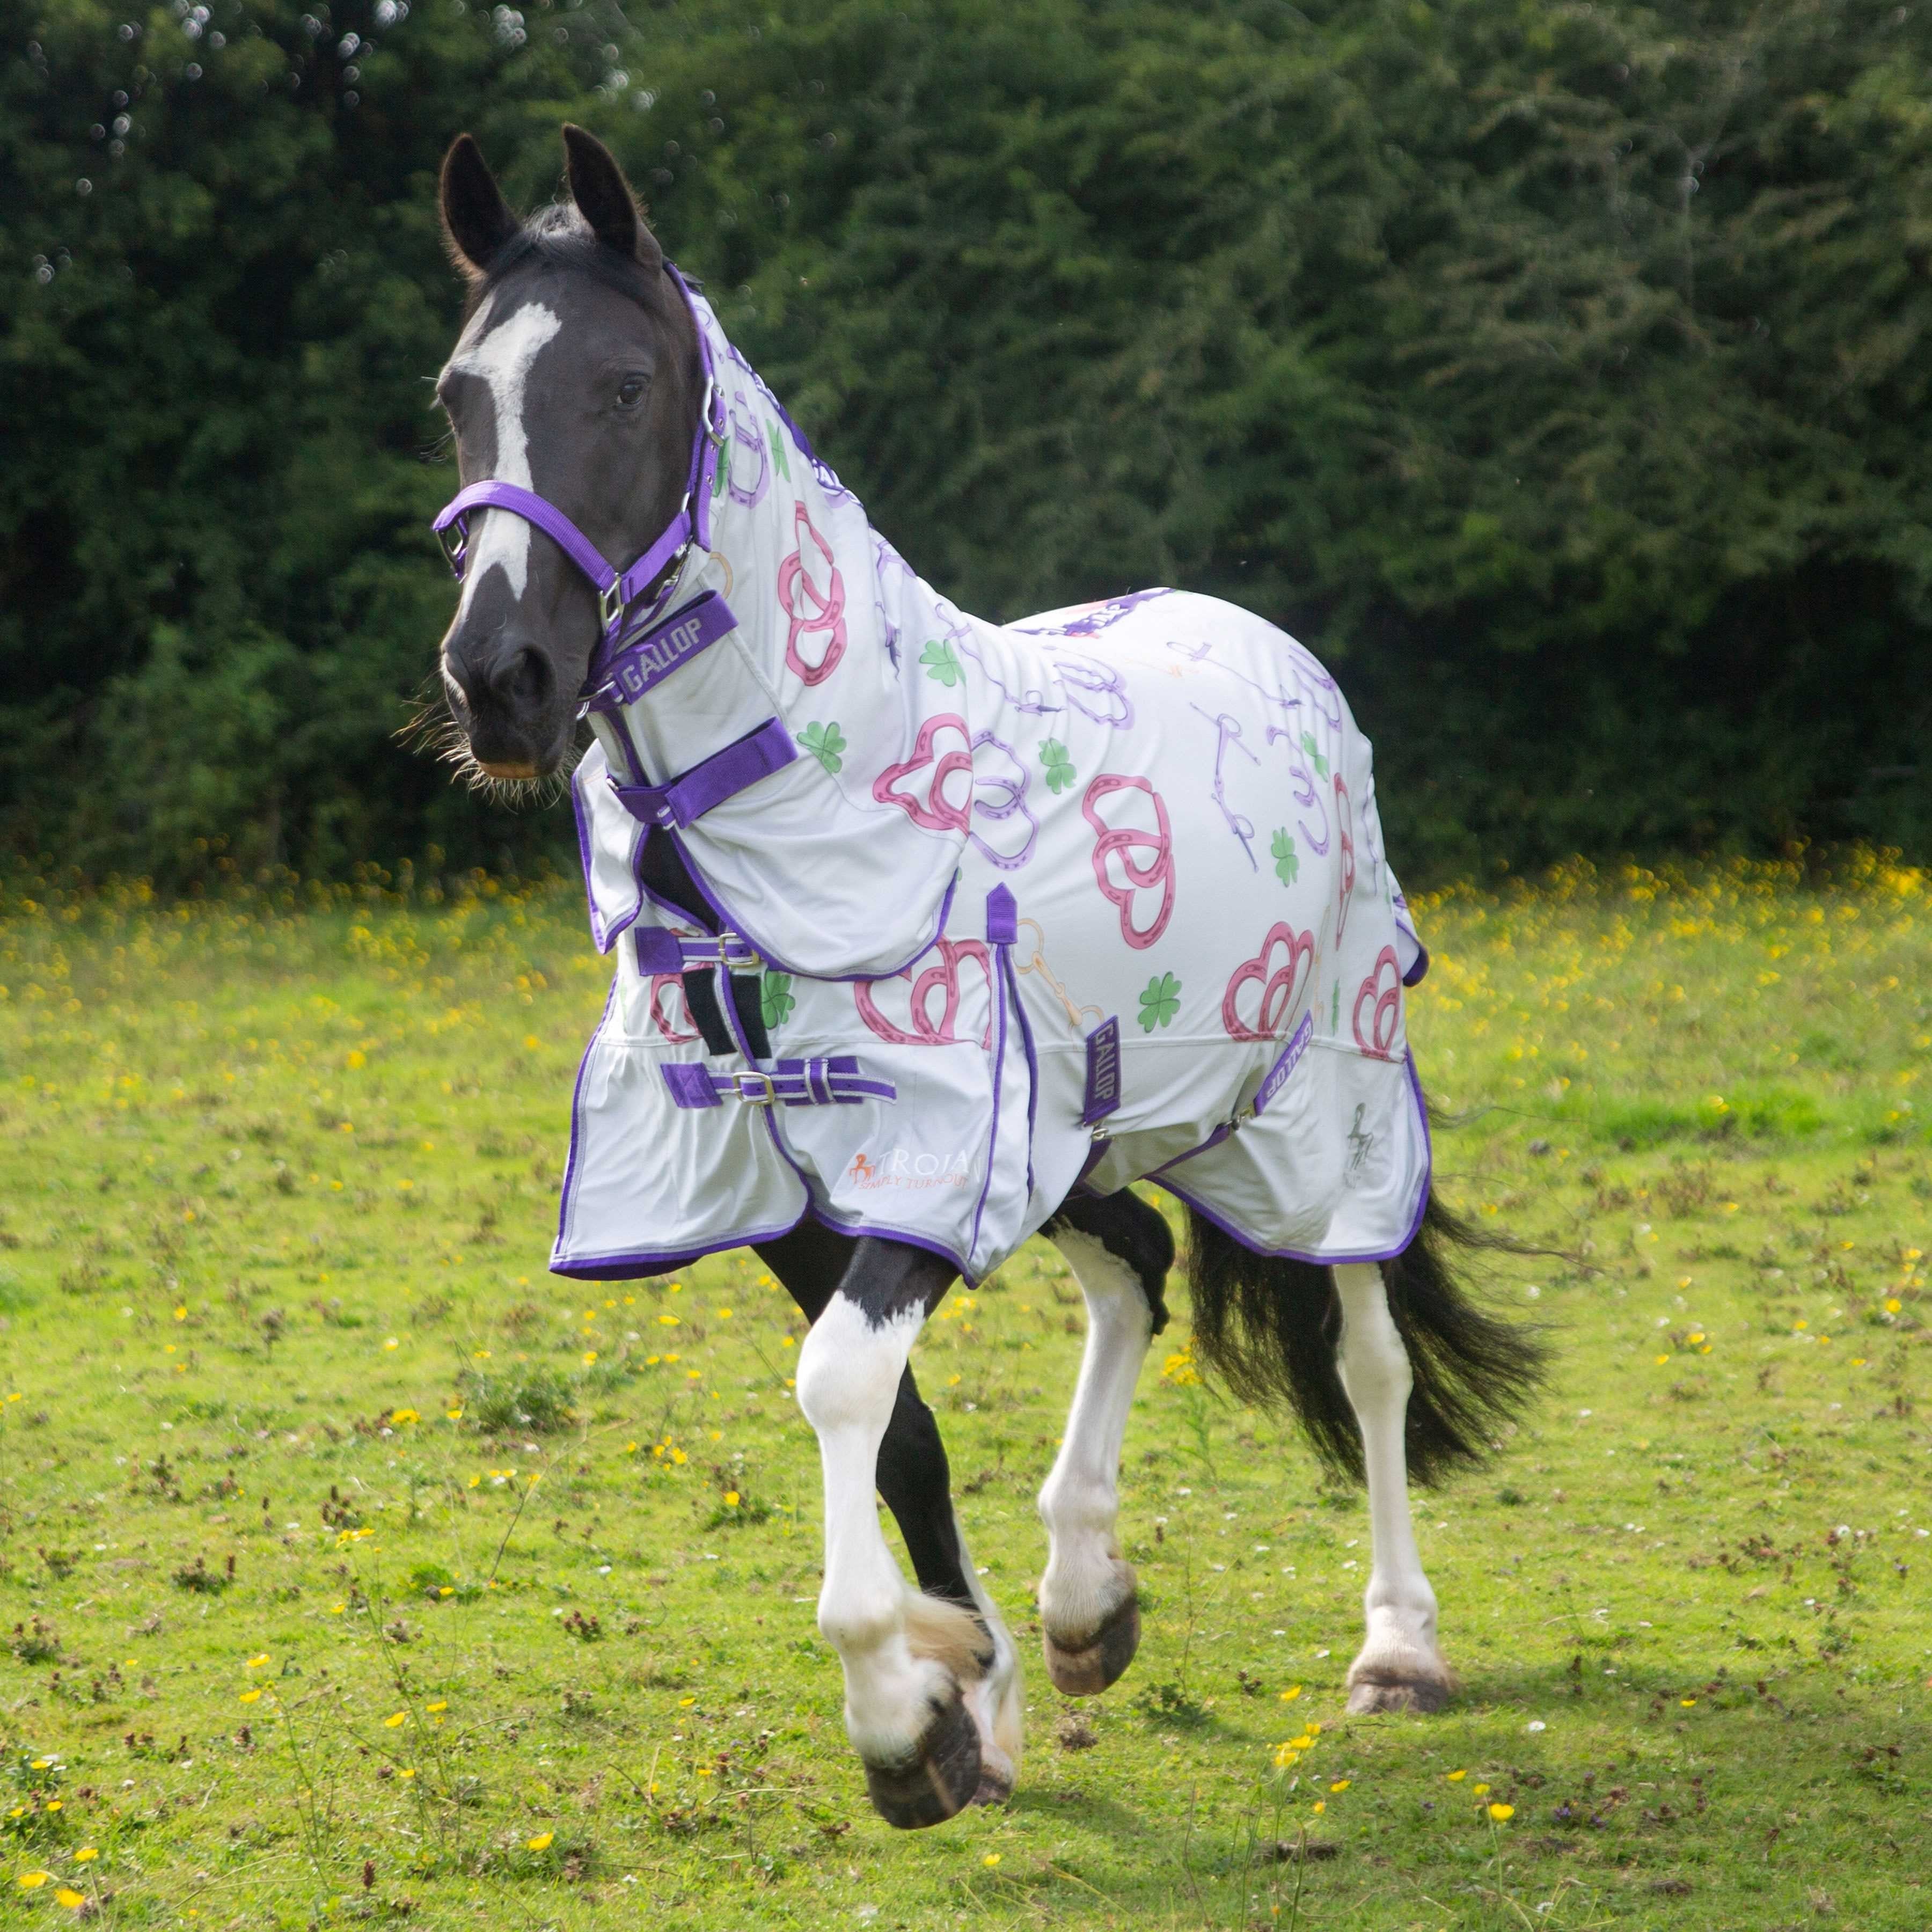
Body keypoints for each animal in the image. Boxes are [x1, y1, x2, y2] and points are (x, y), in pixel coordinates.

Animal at [424, 122, 1544, 1829]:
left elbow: (839, 1390)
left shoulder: (935, 1149)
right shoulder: (797, 1178)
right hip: (1082, 1128)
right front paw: (973, 1705)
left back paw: (1396, 1650)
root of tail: (1267, 640)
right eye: (457, 396)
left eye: (621, 383)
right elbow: (896, 1429)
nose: (501, 680)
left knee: (1366, 1356)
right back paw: (1086, 1606)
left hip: (1323, 1111)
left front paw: (901, 1717)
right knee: (1137, 1263)